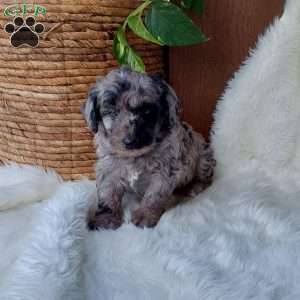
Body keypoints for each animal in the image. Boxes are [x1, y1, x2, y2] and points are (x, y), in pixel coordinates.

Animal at [81, 67, 214, 229]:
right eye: (112, 112)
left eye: (146, 112)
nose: (130, 141)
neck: (134, 156)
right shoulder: (108, 169)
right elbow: (107, 194)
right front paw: (105, 219)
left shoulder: (163, 172)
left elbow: (154, 195)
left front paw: (145, 215)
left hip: (204, 158)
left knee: (206, 178)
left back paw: (194, 187)